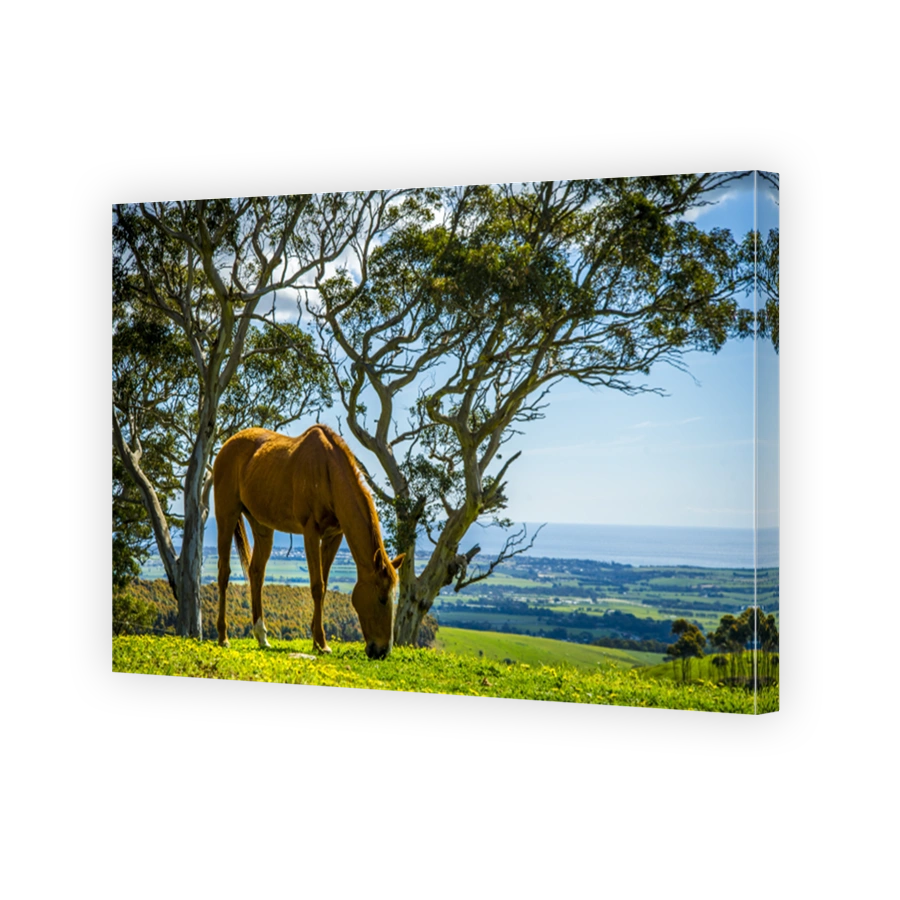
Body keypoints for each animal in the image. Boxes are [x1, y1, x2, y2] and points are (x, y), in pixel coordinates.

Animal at [212, 425, 404, 659]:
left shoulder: (334, 535)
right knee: (224, 573)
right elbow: (317, 586)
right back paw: (223, 637)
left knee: (256, 573)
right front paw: (321, 642)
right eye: (382, 598)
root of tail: (227, 446)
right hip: (227, 514)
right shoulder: (311, 532)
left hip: (262, 525)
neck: (328, 473)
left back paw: (262, 637)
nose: (382, 651)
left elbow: (324, 585)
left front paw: (316, 641)